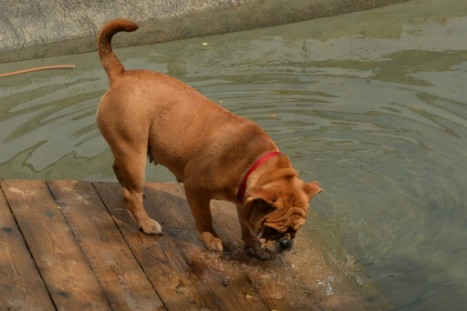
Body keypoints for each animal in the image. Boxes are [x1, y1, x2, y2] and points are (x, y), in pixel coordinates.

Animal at [95, 18, 322, 260]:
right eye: (271, 229)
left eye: (295, 230)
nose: (286, 243)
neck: (253, 163)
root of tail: (121, 75)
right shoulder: (196, 189)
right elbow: (205, 218)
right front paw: (212, 239)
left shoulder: (246, 202)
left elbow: (246, 226)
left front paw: (252, 246)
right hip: (133, 150)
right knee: (131, 193)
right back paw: (146, 223)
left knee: (120, 172)